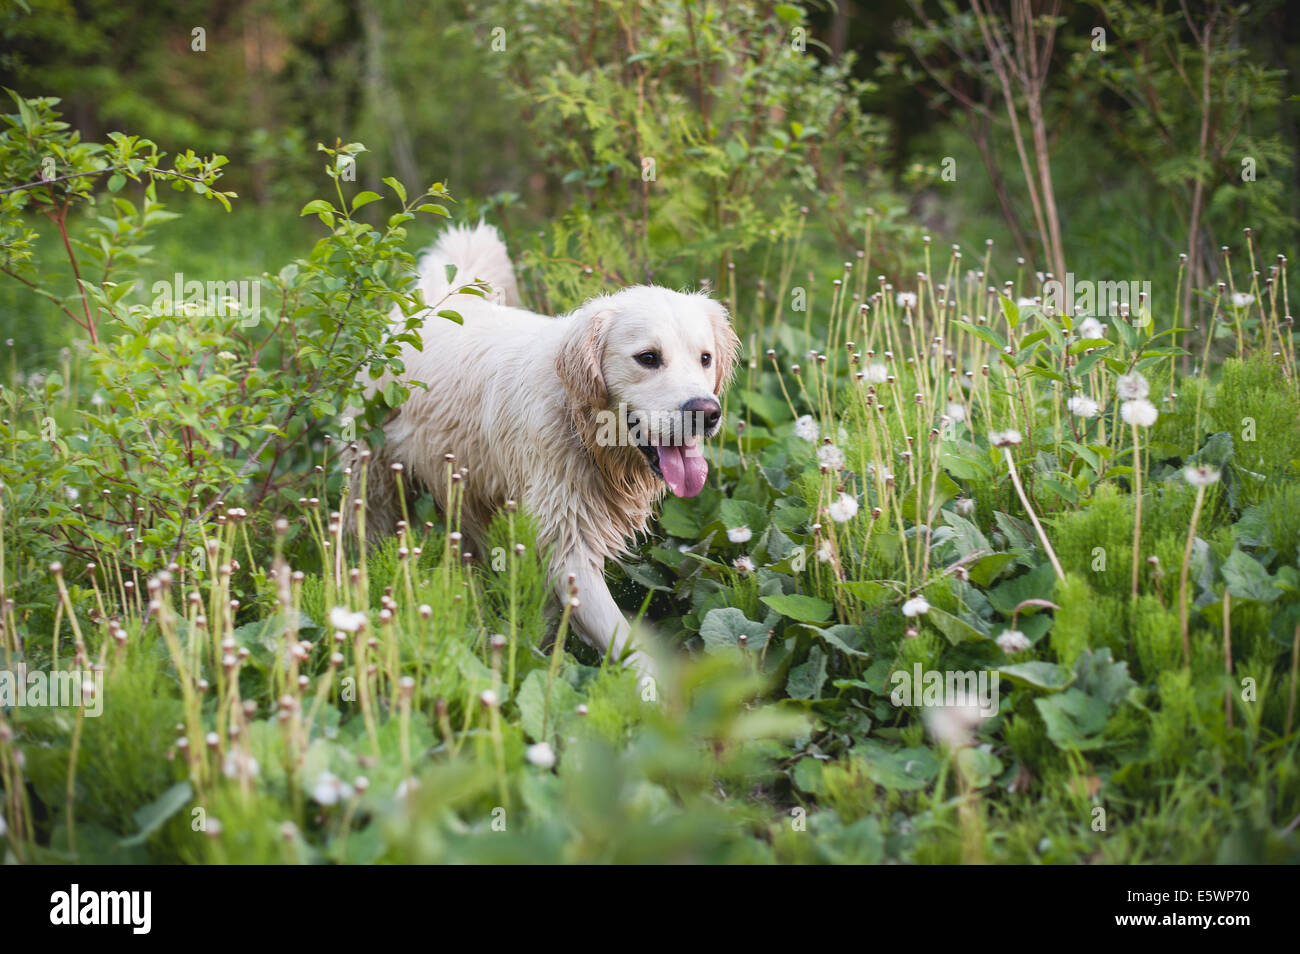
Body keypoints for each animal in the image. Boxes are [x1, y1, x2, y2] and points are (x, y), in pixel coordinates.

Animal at [345, 223, 738, 675]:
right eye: (648, 357)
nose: (706, 412)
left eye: (705, 358)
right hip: (374, 485)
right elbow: (629, 647)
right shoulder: (568, 543)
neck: (583, 425)